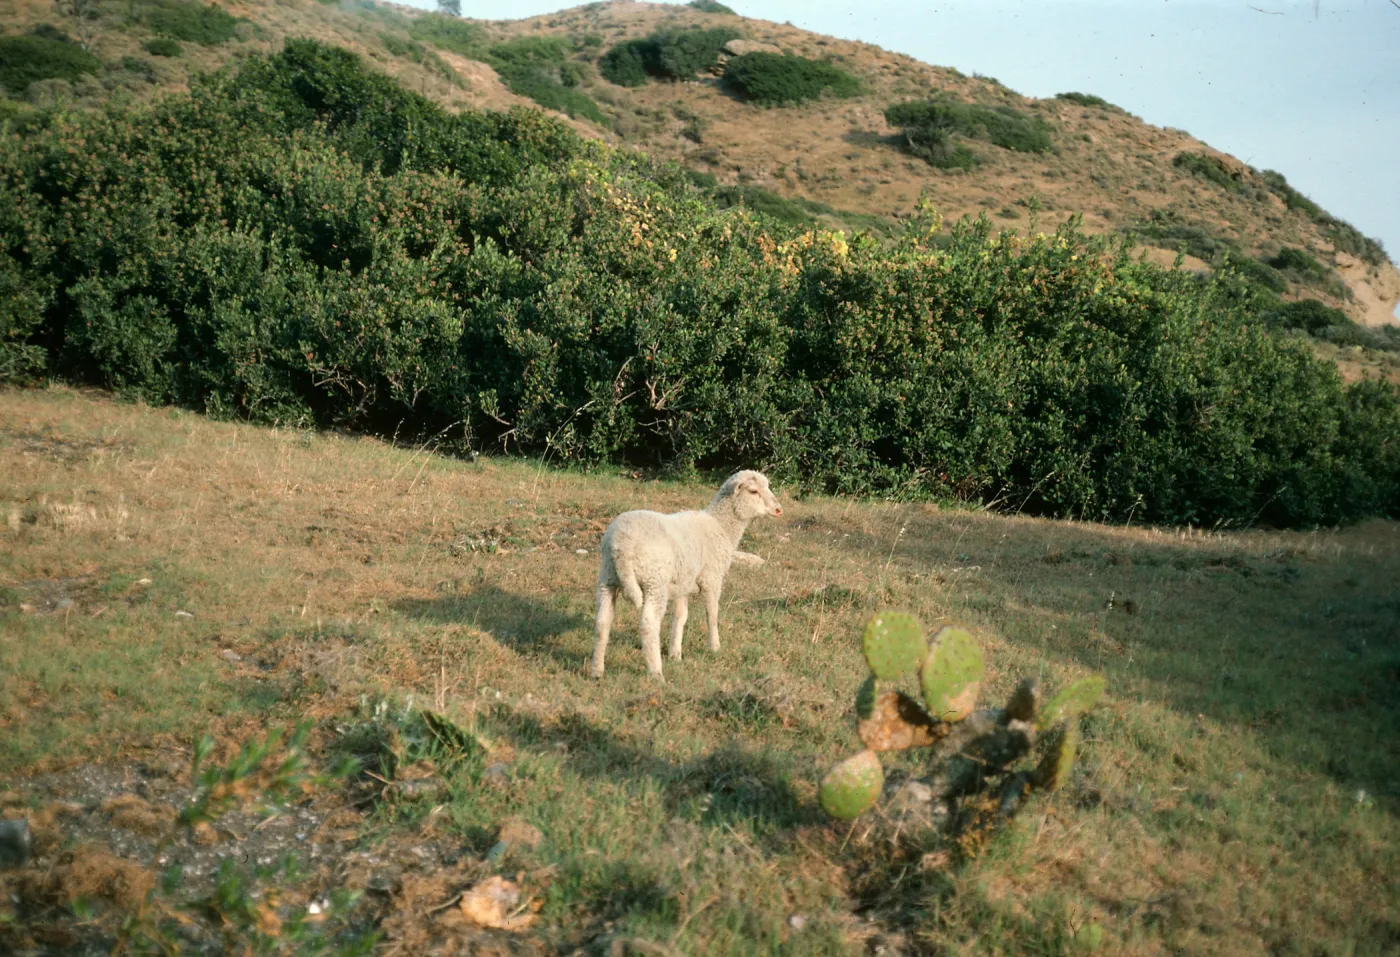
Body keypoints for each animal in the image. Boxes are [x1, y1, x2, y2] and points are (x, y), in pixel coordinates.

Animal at [590, 470, 783, 680]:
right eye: (753, 491)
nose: (779, 509)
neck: (721, 526)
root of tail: (622, 544)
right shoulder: (711, 579)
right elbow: (712, 614)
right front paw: (715, 647)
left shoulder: (683, 583)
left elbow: (680, 617)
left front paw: (675, 653)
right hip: (654, 582)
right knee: (648, 625)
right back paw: (657, 673)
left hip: (607, 578)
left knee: (602, 623)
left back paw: (596, 671)